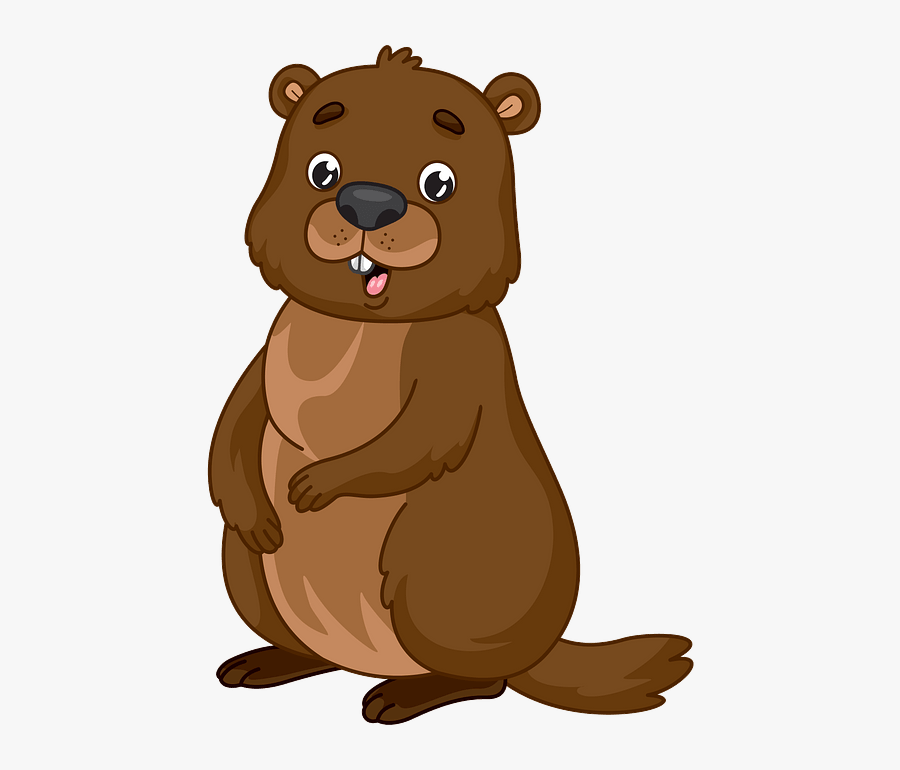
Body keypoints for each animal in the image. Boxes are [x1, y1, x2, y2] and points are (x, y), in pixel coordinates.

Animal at [209, 46, 692, 724]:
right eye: (322, 170)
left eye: (439, 181)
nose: (368, 203)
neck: (362, 323)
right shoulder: (265, 349)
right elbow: (235, 416)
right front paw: (255, 509)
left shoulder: (465, 357)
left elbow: (423, 436)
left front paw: (317, 485)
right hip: (247, 574)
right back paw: (268, 661)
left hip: (437, 579)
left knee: (482, 681)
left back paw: (403, 695)